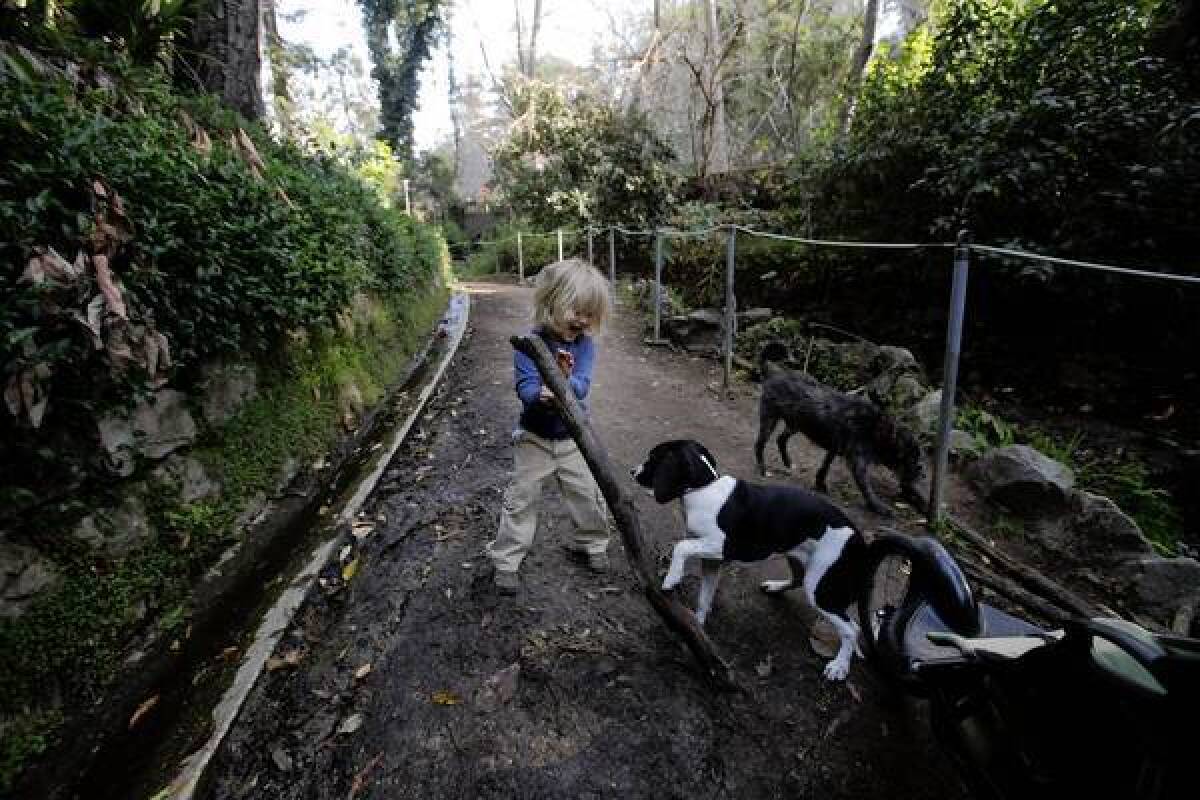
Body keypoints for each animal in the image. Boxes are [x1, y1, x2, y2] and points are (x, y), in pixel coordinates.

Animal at [628, 441, 873, 681]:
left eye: (653, 458)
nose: (632, 471)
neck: (704, 489)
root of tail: (859, 539)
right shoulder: (711, 562)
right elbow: (704, 598)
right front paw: (698, 628)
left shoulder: (720, 546)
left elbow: (681, 546)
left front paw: (672, 578)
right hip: (799, 559)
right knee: (798, 579)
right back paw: (775, 587)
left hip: (819, 588)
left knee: (852, 629)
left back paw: (839, 666)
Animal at [748, 340, 926, 515]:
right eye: (915, 461)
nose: (924, 475)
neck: (878, 428)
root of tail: (773, 373)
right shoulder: (858, 462)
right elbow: (866, 487)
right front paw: (878, 507)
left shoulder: (835, 447)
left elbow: (825, 466)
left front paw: (820, 483)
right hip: (769, 420)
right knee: (759, 444)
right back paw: (763, 468)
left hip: (795, 424)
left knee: (780, 439)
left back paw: (787, 462)